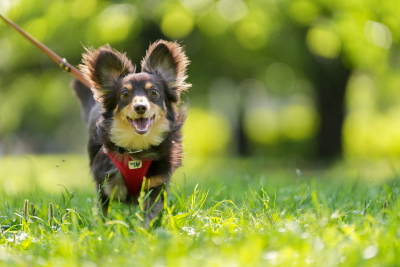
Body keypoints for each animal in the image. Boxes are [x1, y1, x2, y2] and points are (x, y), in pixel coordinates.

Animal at [71, 40, 191, 228]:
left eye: (154, 92)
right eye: (125, 94)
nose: (140, 107)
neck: (137, 150)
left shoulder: (155, 186)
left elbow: (149, 215)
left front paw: (143, 231)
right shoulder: (105, 186)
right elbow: (103, 215)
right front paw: (102, 231)